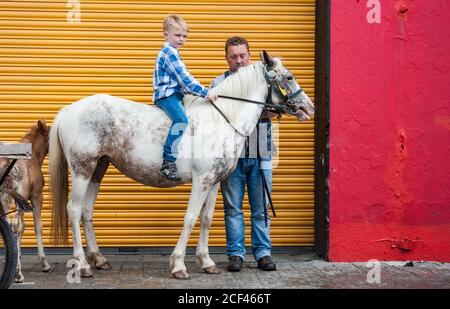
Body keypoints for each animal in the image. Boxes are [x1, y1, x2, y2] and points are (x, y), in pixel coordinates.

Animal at [0, 119, 51, 282]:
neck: (34, 156)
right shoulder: (36, 196)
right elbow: (37, 226)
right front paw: (44, 263)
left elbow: (23, 227)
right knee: (15, 224)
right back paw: (18, 273)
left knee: (10, 223)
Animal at [50, 51, 312, 278]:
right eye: (289, 77)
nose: (308, 107)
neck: (222, 119)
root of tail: (68, 110)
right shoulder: (202, 180)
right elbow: (191, 217)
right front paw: (178, 265)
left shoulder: (214, 182)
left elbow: (206, 218)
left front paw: (206, 262)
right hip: (82, 169)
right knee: (74, 210)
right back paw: (82, 265)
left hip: (98, 168)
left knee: (86, 211)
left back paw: (99, 258)